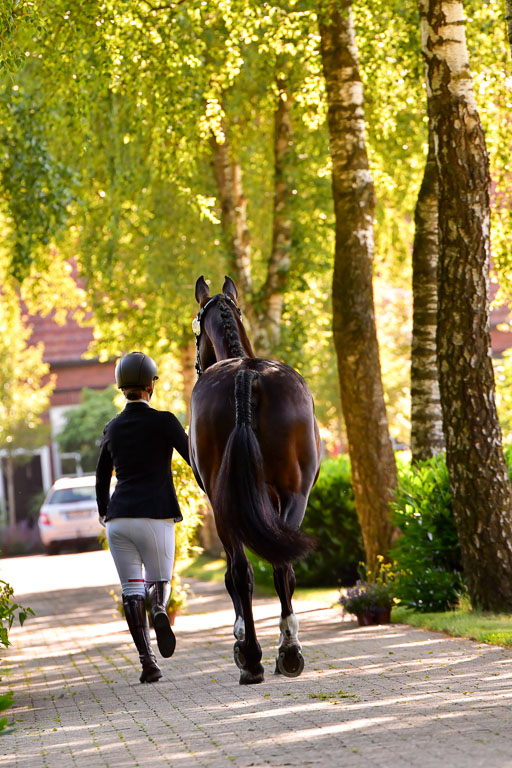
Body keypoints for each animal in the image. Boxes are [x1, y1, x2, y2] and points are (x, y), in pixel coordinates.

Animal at [189, 275, 321, 684]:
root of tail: (248, 373)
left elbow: (234, 574)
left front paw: (241, 640)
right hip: (294, 494)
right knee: (282, 565)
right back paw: (289, 651)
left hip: (224, 505)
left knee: (241, 571)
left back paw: (250, 657)